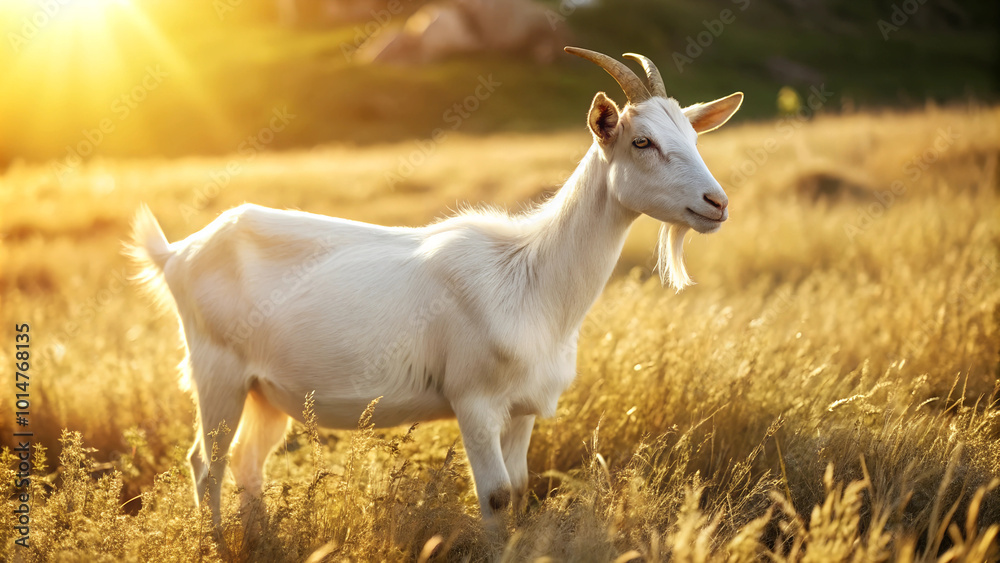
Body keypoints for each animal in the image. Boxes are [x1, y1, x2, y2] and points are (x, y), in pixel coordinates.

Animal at [127, 46, 742, 527]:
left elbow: (520, 490)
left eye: (693, 136)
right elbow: (495, 497)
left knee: (248, 464)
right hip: (217, 373)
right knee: (207, 465)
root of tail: (177, 253)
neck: (530, 278)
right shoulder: (474, 401)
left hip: (265, 390)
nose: (716, 203)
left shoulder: (522, 409)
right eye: (641, 141)